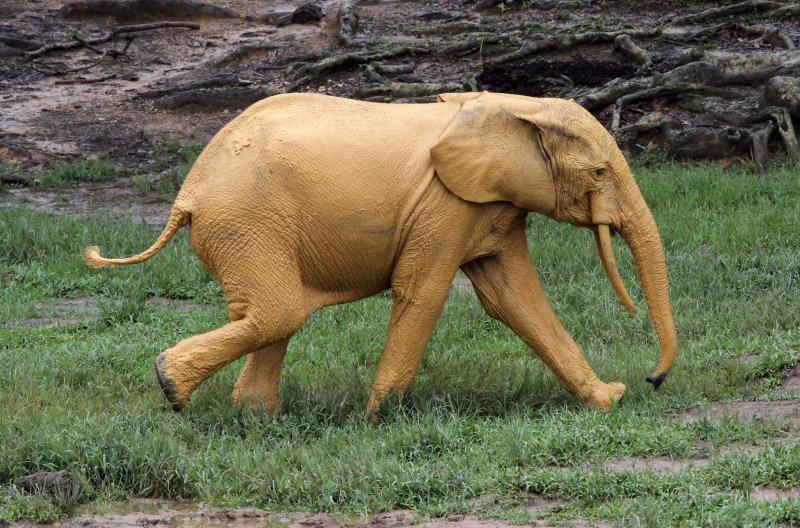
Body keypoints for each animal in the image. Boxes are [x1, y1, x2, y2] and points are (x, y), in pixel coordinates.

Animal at [86, 92, 676, 420]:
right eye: (599, 172)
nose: (653, 380)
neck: (512, 107)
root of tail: (186, 195)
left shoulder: (486, 203)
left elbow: (516, 299)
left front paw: (607, 400)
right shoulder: (445, 205)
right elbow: (424, 292)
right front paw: (378, 419)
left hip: (248, 229)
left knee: (271, 315)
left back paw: (254, 418)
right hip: (247, 220)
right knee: (278, 311)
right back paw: (170, 386)